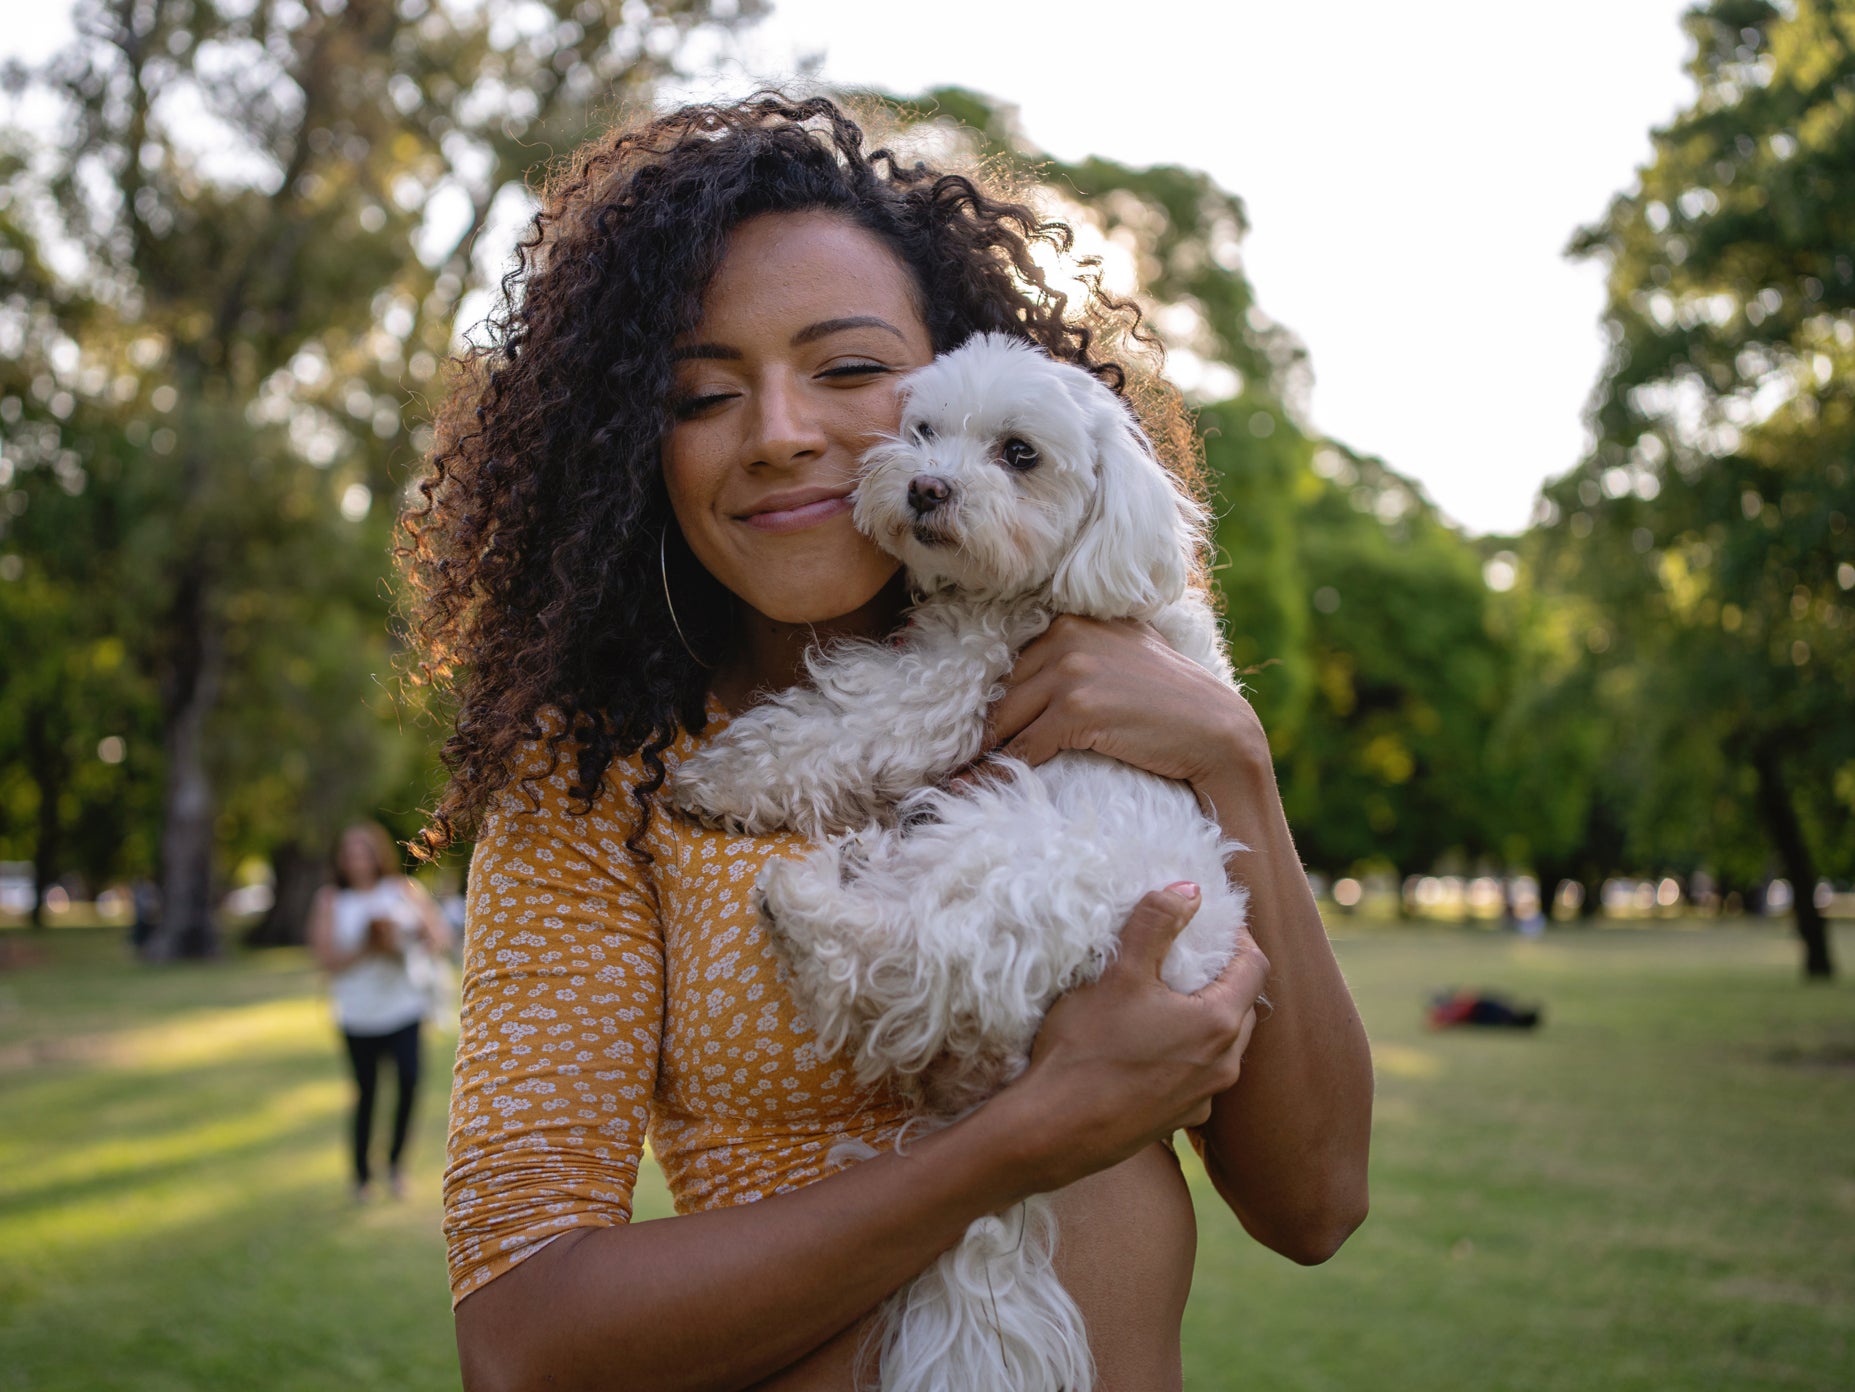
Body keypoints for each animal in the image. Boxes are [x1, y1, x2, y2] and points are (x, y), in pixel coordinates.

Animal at [675, 335, 1253, 1392]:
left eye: (1019, 454)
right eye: (922, 431)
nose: (927, 488)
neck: (1049, 587)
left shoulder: (950, 683)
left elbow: (837, 722)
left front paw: (714, 776)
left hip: (1006, 846)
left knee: (878, 957)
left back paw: (809, 894)